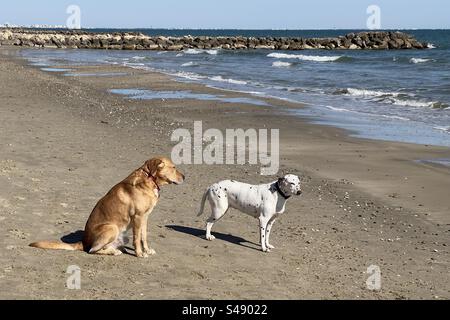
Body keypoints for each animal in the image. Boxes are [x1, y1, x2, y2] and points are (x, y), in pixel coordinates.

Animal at [30, 156, 185, 258]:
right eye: (174, 167)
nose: (185, 177)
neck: (149, 179)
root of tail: (83, 242)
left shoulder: (145, 217)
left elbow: (143, 236)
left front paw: (146, 250)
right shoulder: (138, 217)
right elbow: (137, 239)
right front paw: (140, 253)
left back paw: (117, 249)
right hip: (112, 227)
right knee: (92, 250)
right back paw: (113, 251)